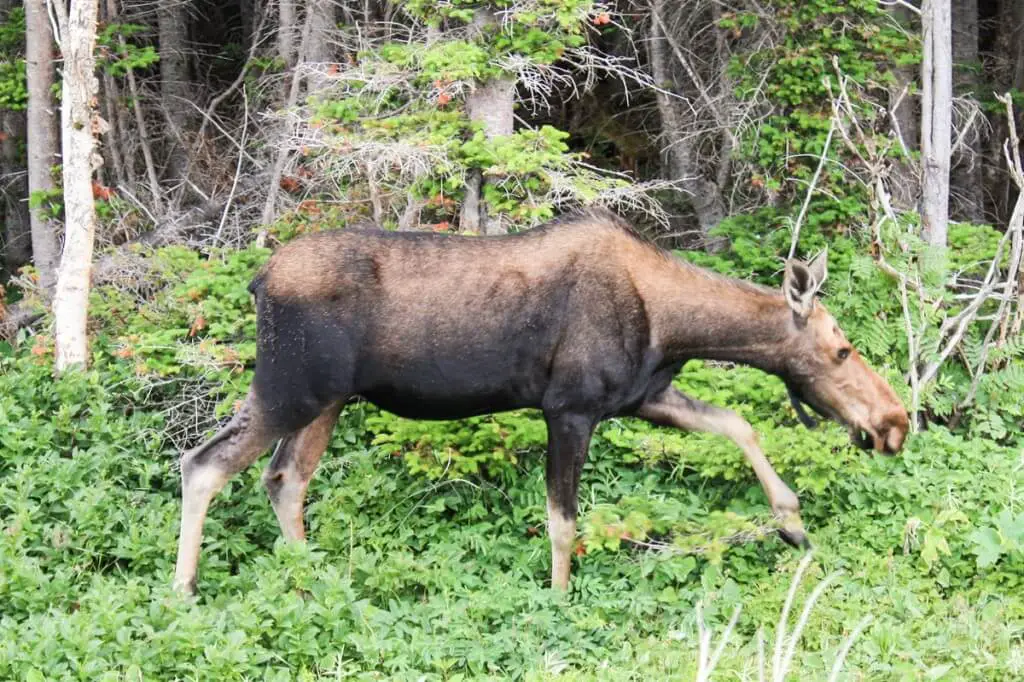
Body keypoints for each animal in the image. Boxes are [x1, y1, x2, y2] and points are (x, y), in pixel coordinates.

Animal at [172, 205, 909, 589]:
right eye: (841, 351)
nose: (896, 421)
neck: (673, 326)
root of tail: (258, 281)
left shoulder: (640, 397)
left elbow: (737, 424)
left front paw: (792, 522)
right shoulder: (570, 407)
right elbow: (563, 521)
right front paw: (559, 597)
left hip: (326, 400)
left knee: (284, 480)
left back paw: (313, 579)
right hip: (288, 388)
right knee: (204, 464)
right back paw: (183, 592)